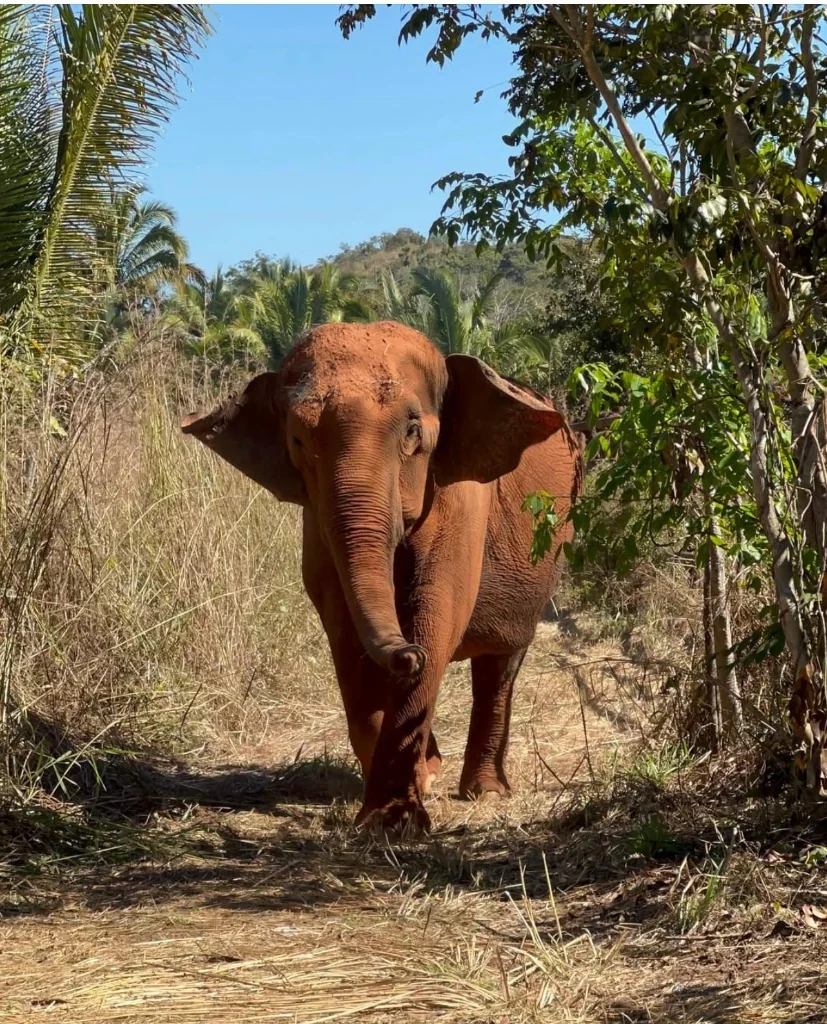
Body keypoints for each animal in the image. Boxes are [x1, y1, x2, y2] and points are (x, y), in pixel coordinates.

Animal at [181, 321, 582, 829]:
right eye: (297, 441)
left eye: (412, 432)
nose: (406, 654)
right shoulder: (317, 517)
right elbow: (342, 625)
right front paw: (411, 789)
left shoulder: (459, 498)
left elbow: (438, 611)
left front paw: (395, 822)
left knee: (500, 663)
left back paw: (486, 793)